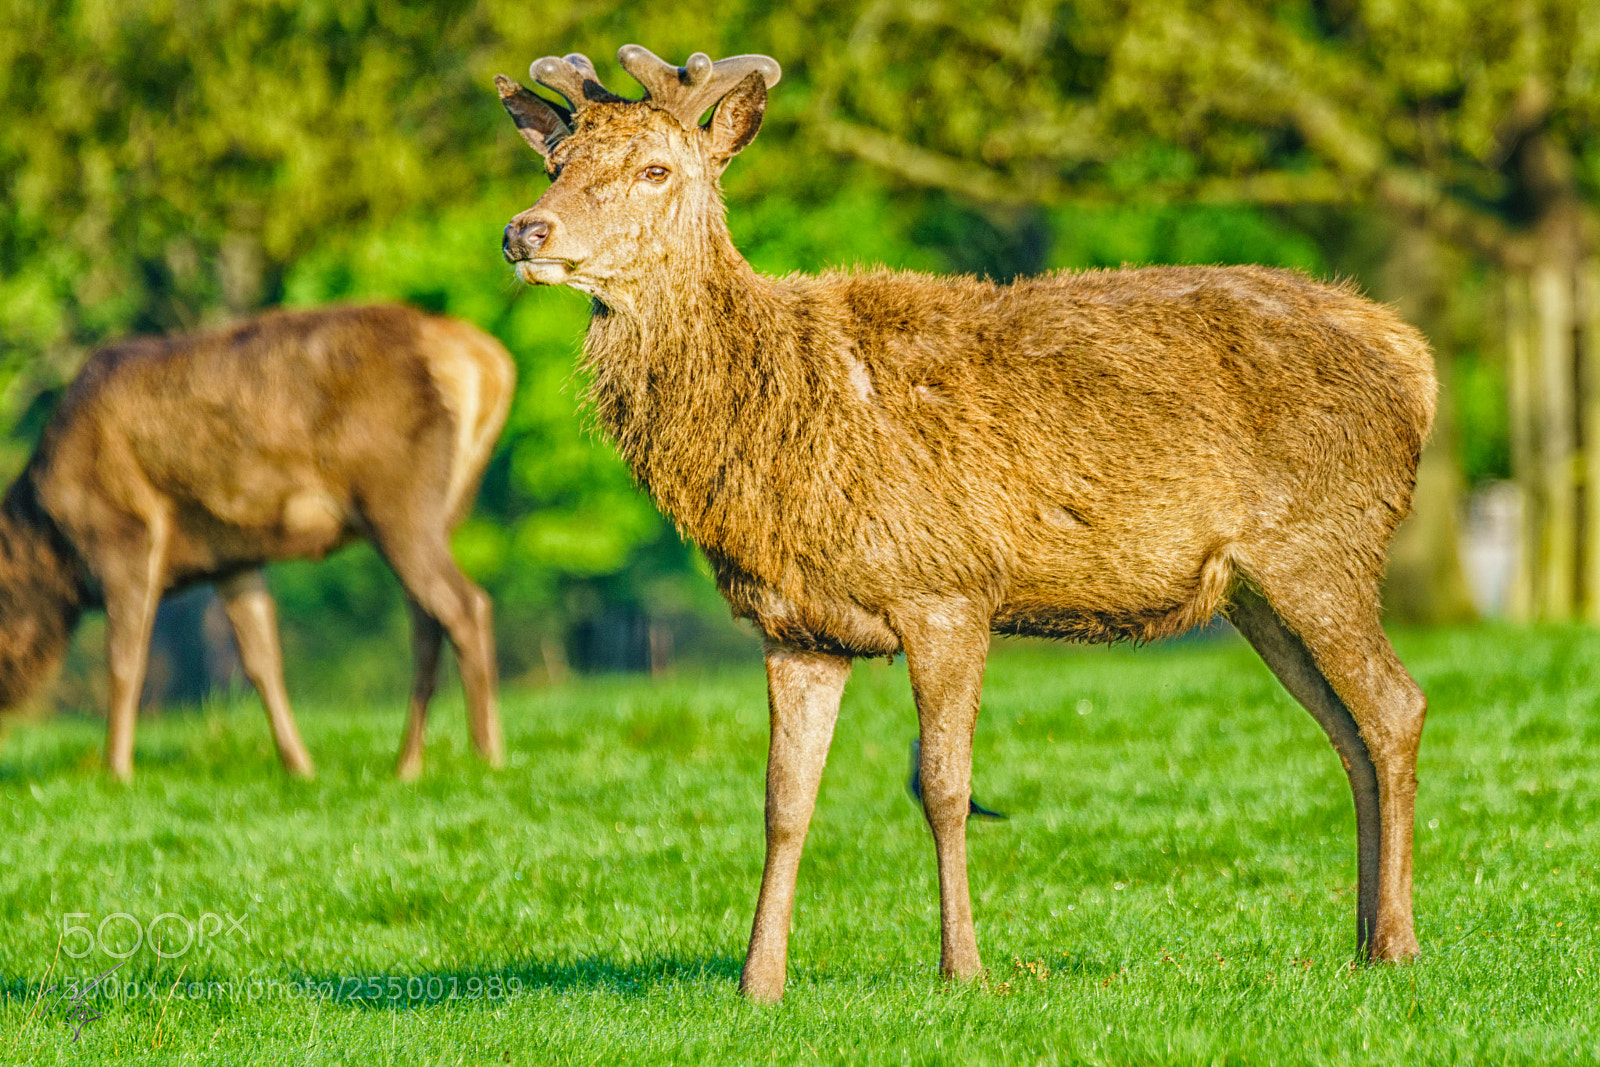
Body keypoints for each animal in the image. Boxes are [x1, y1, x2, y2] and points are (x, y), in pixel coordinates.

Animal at [0, 303, 513, 782]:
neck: (50, 545)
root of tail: (490, 364)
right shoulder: (231, 557)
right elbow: (262, 662)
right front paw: (299, 766)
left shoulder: (124, 532)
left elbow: (126, 661)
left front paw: (117, 771)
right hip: (444, 509)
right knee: (426, 622)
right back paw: (407, 764)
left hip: (396, 498)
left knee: (464, 605)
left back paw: (487, 754)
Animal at [495, 46, 1436, 1002]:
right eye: (555, 161)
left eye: (657, 169)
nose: (526, 232)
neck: (781, 432)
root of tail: (1416, 360)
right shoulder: (796, 624)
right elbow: (783, 800)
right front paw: (759, 980)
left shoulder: (946, 587)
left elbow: (945, 786)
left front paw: (964, 966)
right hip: (1255, 589)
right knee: (1347, 729)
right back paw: (1363, 936)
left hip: (1322, 543)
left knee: (1397, 706)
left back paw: (1399, 939)